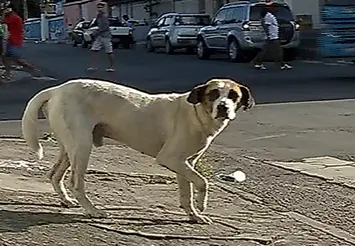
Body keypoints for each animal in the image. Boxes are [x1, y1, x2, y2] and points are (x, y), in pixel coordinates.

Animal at [21, 78, 256, 224]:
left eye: (233, 95)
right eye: (214, 94)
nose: (224, 107)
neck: (196, 114)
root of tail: (57, 89)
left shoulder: (185, 164)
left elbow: (186, 193)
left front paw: (194, 215)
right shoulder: (170, 159)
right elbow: (203, 182)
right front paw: (202, 204)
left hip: (70, 147)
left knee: (54, 174)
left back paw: (66, 200)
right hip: (82, 146)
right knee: (75, 183)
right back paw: (92, 210)